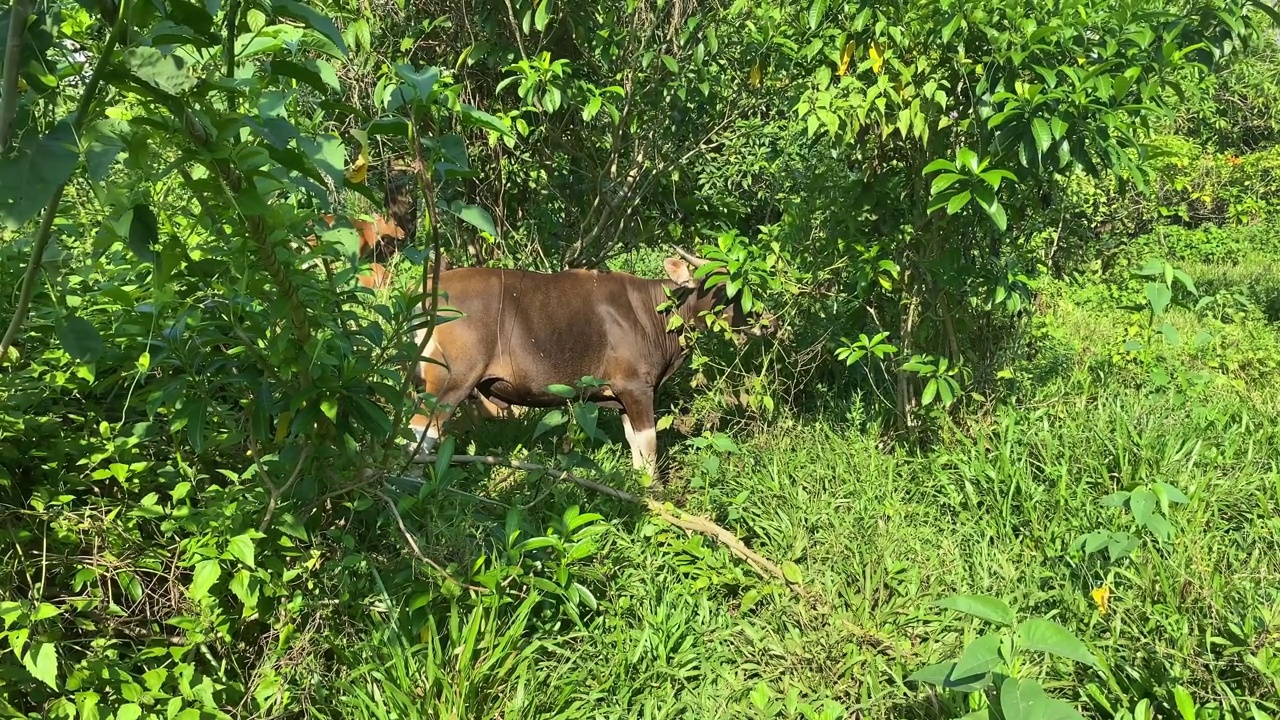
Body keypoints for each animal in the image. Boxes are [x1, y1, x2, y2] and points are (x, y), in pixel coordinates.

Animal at [407, 249, 768, 484]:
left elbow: (636, 447)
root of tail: (427, 292)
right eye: (721, 288)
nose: (767, 322)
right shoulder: (637, 389)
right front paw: (655, 493)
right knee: (421, 430)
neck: (656, 313)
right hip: (451, 381)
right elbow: (650, 445)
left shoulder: (622, 396)